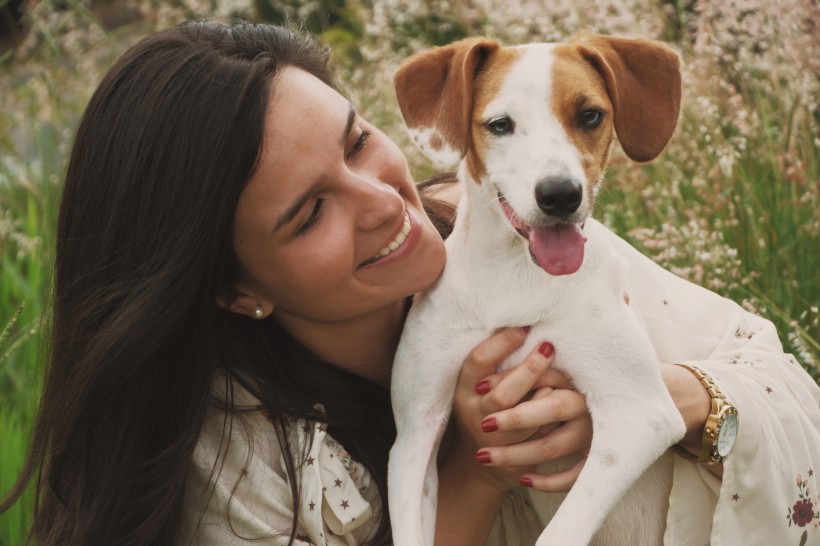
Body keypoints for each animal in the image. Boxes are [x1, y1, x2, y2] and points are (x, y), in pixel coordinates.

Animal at [388, 35, 688, 544]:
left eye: (589, 115)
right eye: (500, 124)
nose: (560, 194)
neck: (513, 277)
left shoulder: (640, 414)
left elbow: (561, 532)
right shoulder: (413, 434)